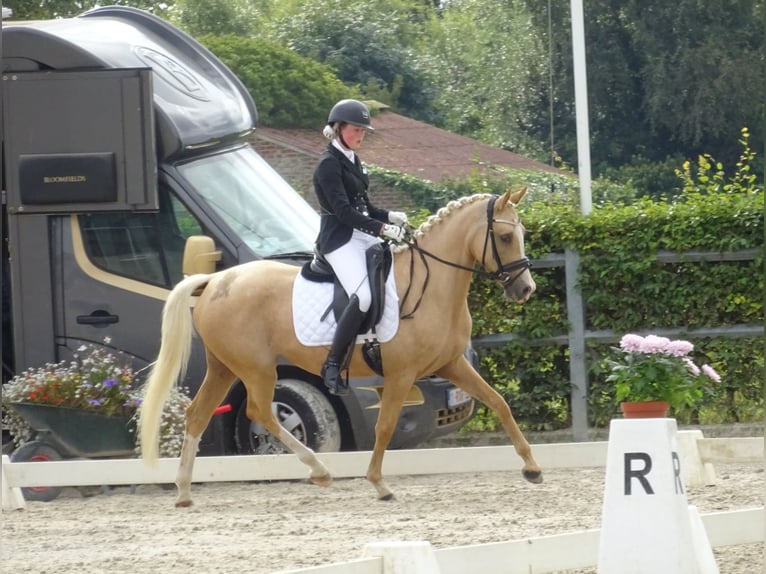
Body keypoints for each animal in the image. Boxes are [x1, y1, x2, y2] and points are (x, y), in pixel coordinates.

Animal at [140, 187, 544, 506]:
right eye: (504, 237)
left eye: (522, 233)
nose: (526, 290)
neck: (433, 286)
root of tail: (214, 280)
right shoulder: (401, 375)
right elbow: (385, 425)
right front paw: (379, 484)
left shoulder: (451, 364)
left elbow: (499, 402)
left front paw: (532, 468)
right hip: (256, 368)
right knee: (260, 412)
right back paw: (319, 469)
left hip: (224, 366)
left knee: (198, 414)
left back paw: (184, 492)